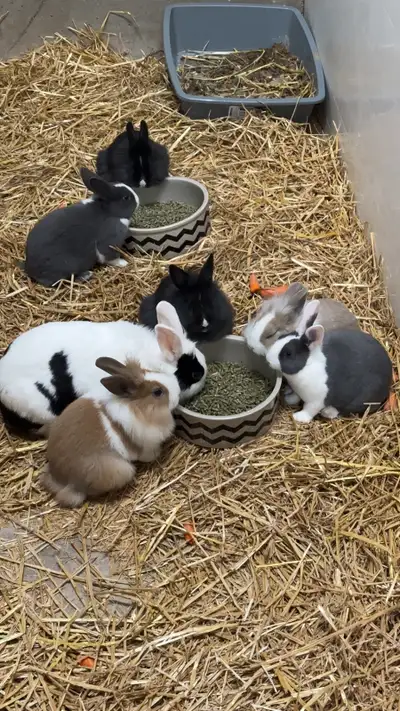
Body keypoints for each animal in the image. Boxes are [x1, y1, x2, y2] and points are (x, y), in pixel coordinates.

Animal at [41, 355, 180, 507]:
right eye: (157, 392)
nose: (178, 390)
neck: (137, 405)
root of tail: (63, 480)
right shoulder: (147, 445)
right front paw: (158, 453)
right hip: (122, 470)